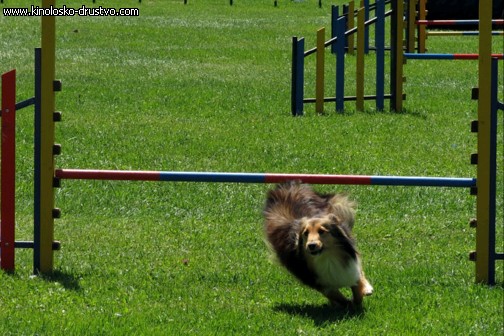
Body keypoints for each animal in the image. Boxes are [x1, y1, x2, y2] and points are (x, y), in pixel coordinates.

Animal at [264, 180, 374, 308]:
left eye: (321, 231)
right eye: (305, 233)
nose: (311, 245)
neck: (327, 257)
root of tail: (289, 183)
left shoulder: (351, 262)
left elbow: (357, 279)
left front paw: (362, 294)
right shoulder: (316, 280)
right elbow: (334, 294)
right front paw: (347, 304)